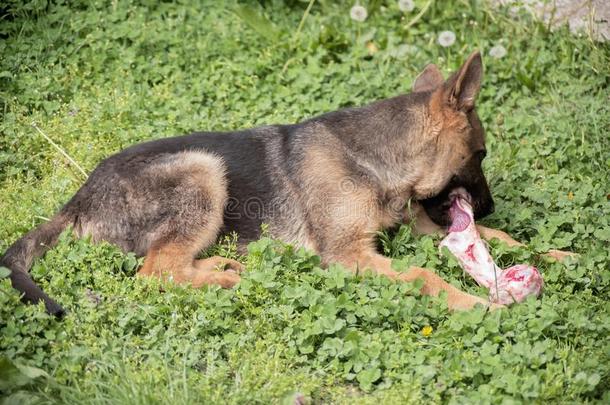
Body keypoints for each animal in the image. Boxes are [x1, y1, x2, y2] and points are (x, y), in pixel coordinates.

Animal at [1, 51, 568, 316]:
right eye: (481, 154)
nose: (487, 208)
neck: (376, 161)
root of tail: (76, 200)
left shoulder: (419, 230)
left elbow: (502, 240)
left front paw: (561, 255)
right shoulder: (349, 257)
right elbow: (423, 275)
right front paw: (479, 304)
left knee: (170, 265)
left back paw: (222, 267)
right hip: (202, 171)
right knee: (153, 272)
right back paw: (226, 280)